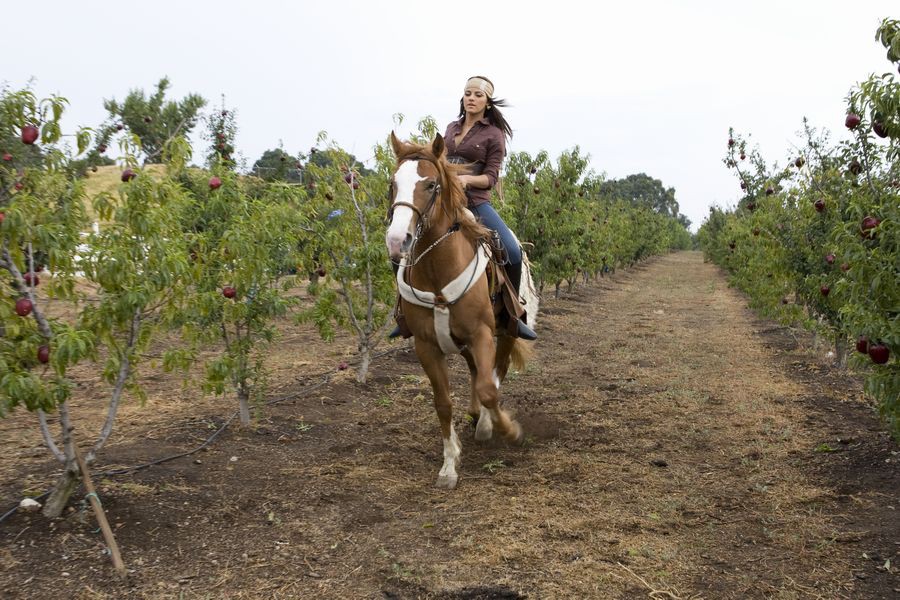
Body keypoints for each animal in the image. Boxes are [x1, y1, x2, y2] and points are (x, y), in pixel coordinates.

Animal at [382, 134, 536, 490]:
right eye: (392, 184)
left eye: (431, 185)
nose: (397, 241)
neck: (438, 273)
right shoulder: (426, 345)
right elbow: (443, 402)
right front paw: (449, 465)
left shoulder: (482, 334)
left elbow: (490, 389)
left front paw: (508, 430)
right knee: (475, 372)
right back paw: (476, 416)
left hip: (507, 330)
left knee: (496, 370)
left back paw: (486, 424)